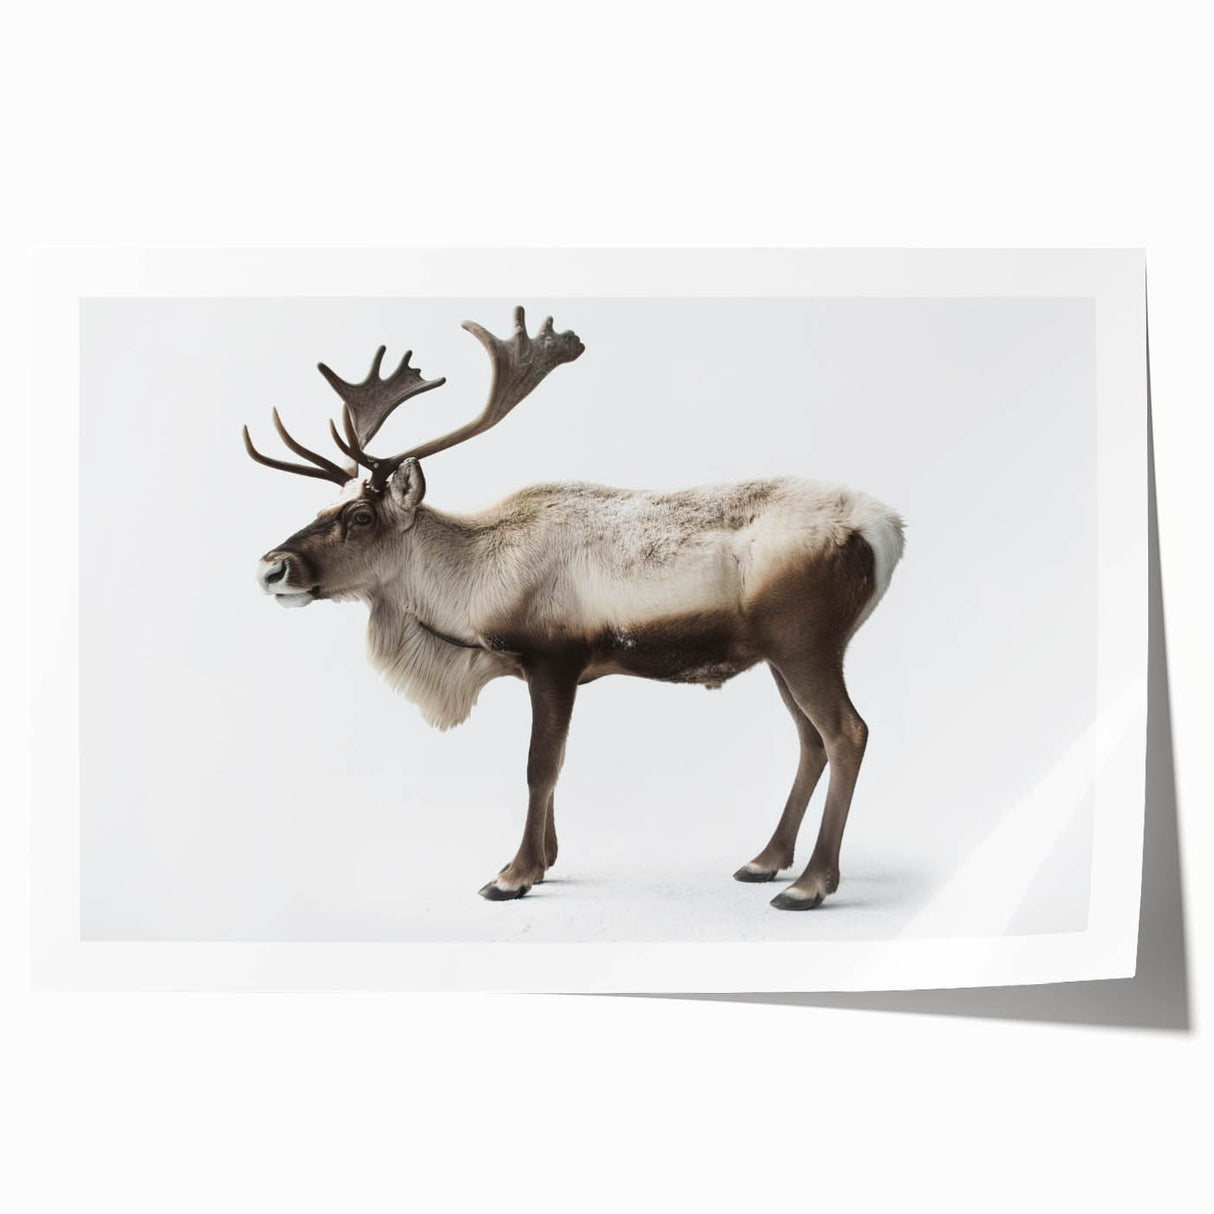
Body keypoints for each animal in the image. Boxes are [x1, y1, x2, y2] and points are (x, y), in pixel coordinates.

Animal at [245, 307, 904, 910]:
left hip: (806, 642)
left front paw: (512, 874)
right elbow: (556, 764)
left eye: (360, 516)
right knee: (810, 740)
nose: (271, 567)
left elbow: (540, 765)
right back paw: (765, 860)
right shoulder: (554, 671)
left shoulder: (553, 659)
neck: (471, 585)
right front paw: (544, 862)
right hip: (778, 654)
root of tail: (888, 529)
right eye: (324, 507)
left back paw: (809, 884)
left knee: (847, 732)